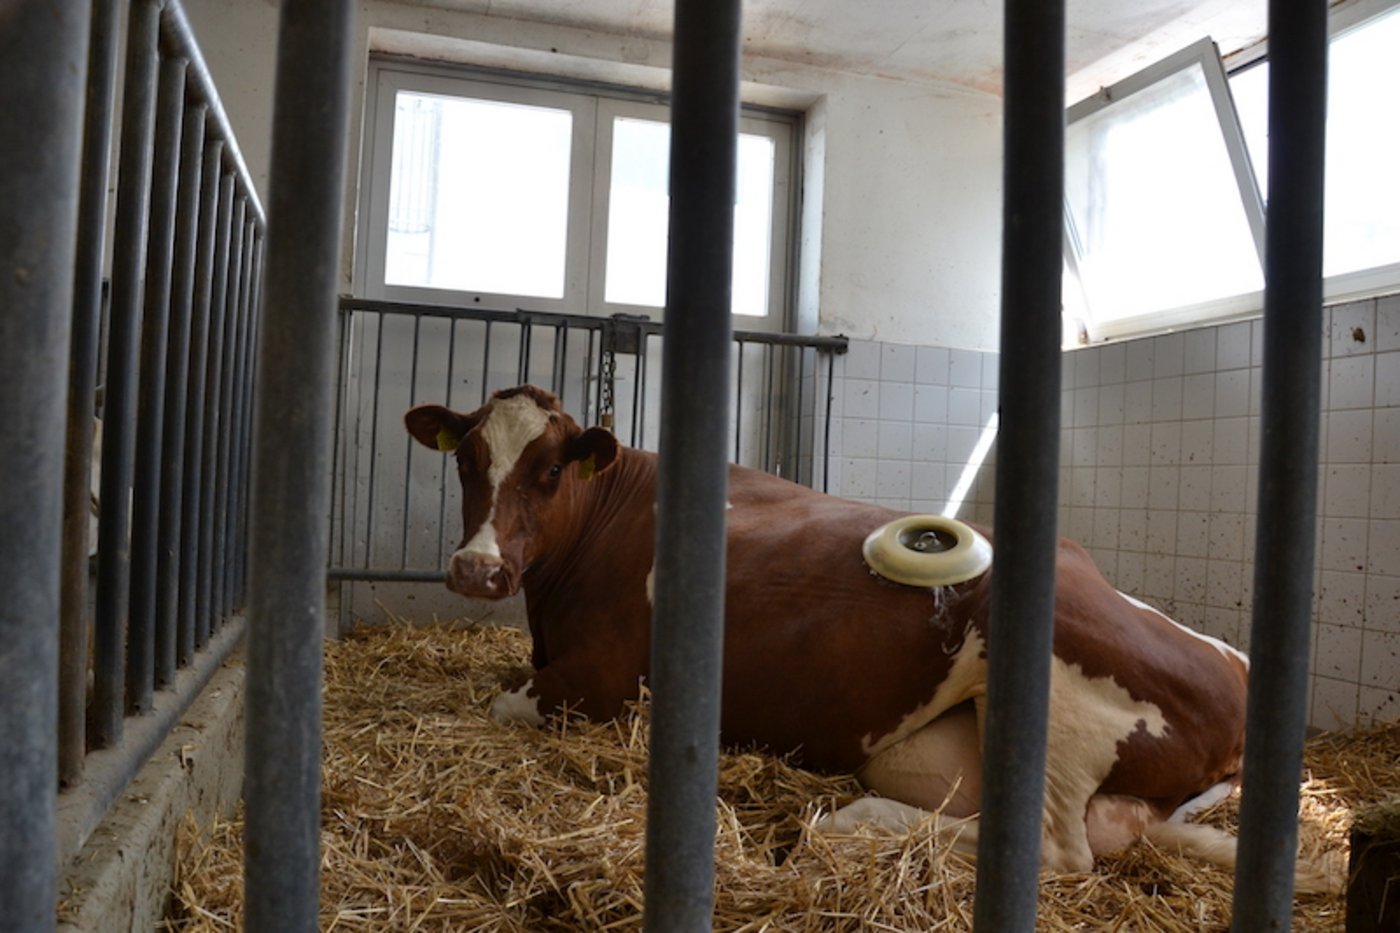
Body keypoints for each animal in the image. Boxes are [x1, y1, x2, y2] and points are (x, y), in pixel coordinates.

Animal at [404, 385, 1334, 892]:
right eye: (467, 460)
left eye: (549, 471)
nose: (477, 569)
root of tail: (1236, 669)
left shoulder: (602, 680)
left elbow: (499, 702)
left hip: (1062, 676)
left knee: (1056, 847)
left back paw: (851, 817)